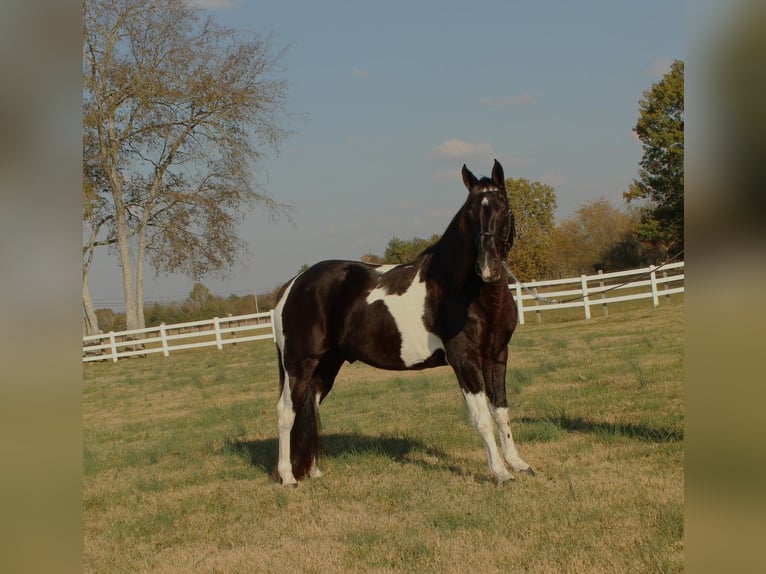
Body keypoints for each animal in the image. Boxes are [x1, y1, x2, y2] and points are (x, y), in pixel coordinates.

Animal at [272, 160, 536, 488]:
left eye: (503, 206)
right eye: (470, 212)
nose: (487, 267)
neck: (467, 292)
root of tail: (292, 286)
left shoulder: (497, 357)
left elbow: (501, 413)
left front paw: (519, 464)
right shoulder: (465, 361)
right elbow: (483, 418)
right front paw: (500, 472)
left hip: (326, 365)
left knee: (310, 409)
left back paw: (312, 471)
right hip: (299, 364)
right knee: (287, 412)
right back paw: (287, 477)